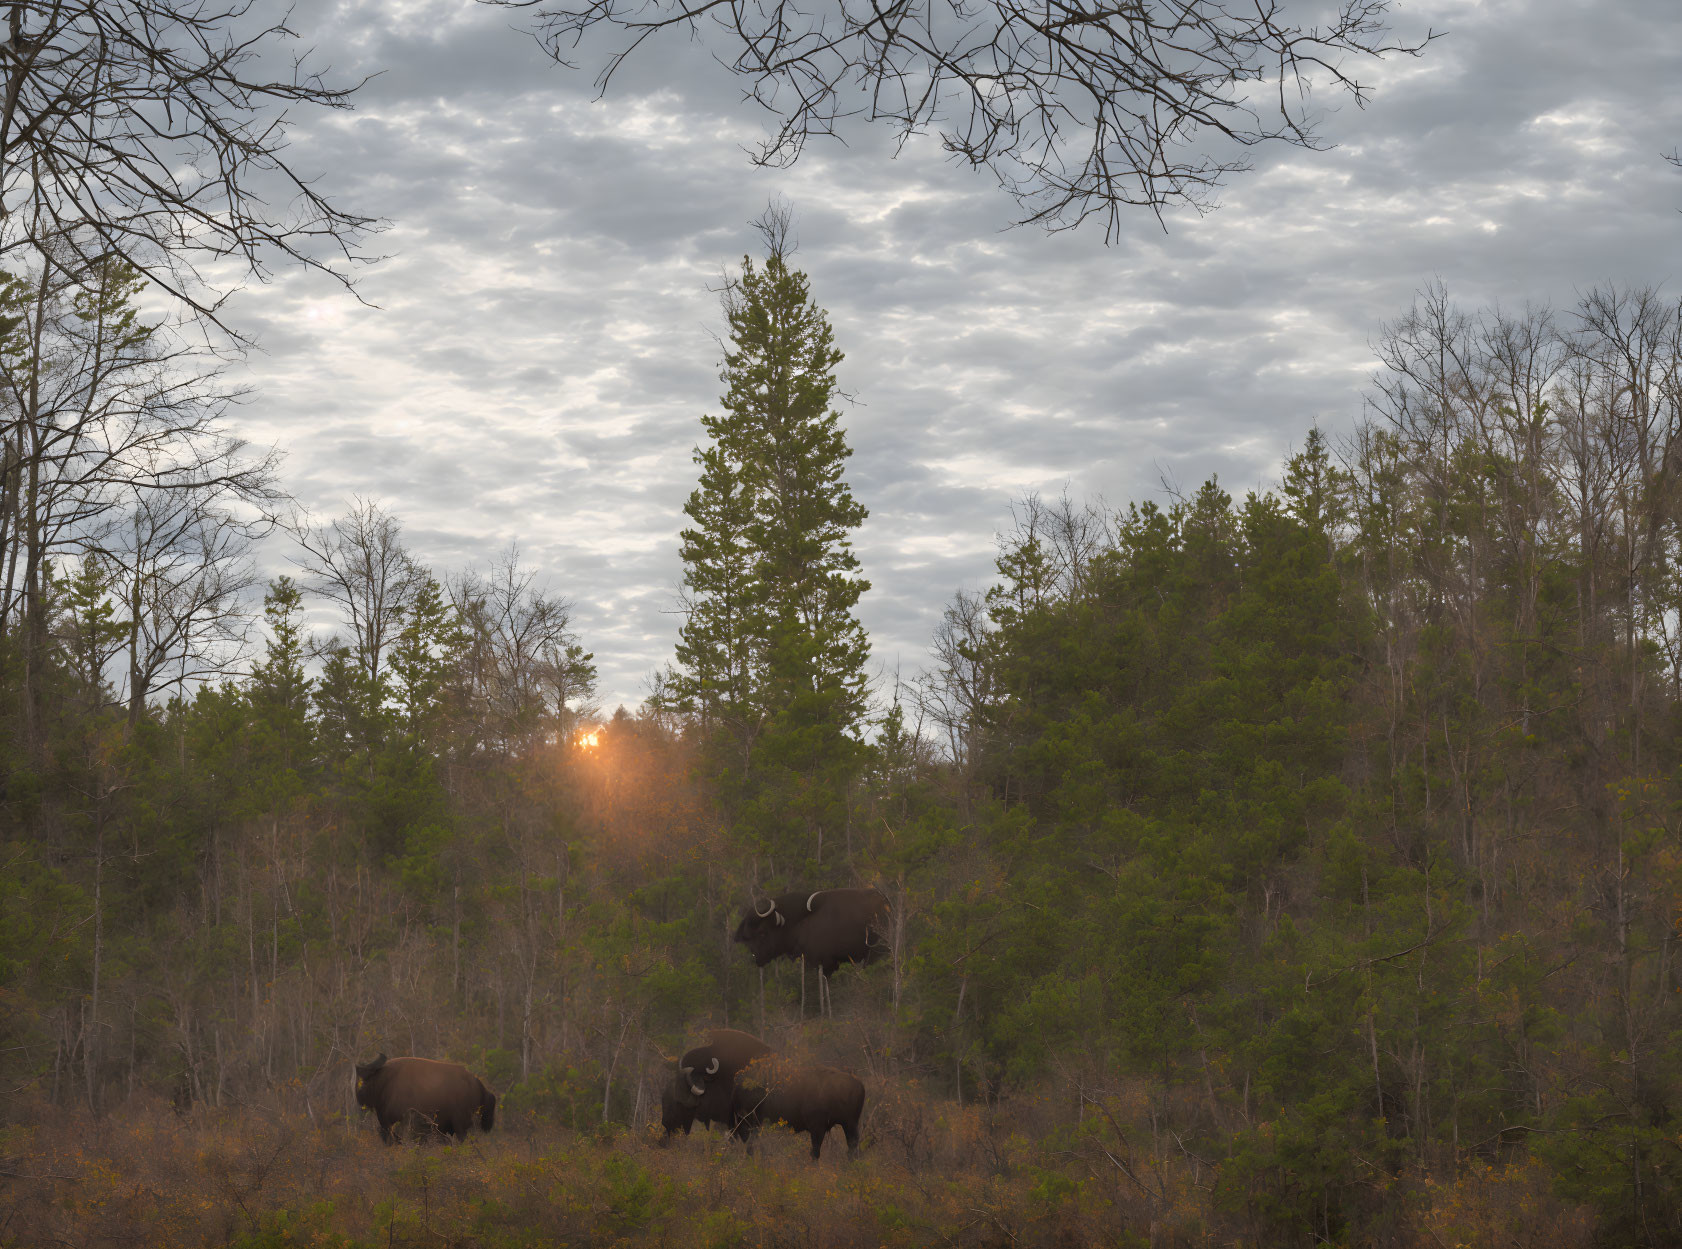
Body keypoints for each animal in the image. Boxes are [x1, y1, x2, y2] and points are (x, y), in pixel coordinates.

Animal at [736, 887, 894, 1015]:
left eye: (762, 932)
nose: (756, 957)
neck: (800, 922)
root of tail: (885, 903)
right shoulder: (820, 965)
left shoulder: (822, 964)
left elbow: (822, 990)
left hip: (876, 952)